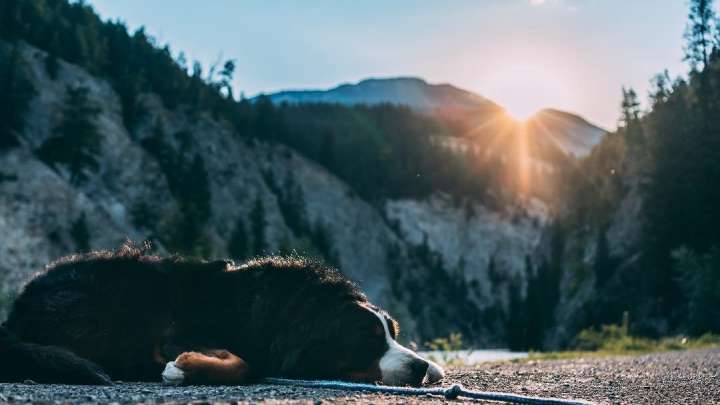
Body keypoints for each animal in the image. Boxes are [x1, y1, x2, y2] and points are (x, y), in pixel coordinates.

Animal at [0, 241, 444, 386]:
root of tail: (20, 306)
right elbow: (244, 364)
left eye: (392, 333)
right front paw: (184, 368)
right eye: (366, 340)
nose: (418, 367)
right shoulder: (174, 330)